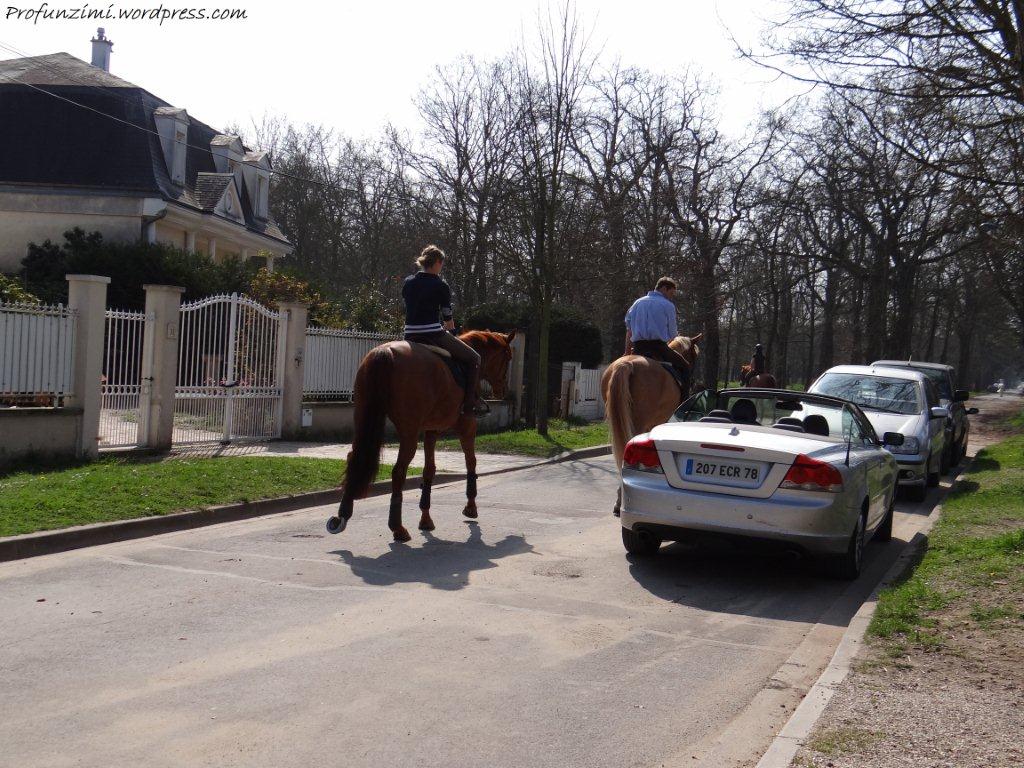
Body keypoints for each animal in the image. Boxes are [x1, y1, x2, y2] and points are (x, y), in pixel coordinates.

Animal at [326, 330, 517, 542]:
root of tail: (386, 352)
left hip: (363, 417)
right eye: (508, 357)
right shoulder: (467, 426)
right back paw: (397, 527)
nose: (503, 390)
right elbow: (471, 462)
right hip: (409, 432)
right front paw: (471, 507)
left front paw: (426, 519)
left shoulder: (431, 431)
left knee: (355, 458)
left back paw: (343, 514)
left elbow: (429, 470)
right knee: (398, 471)